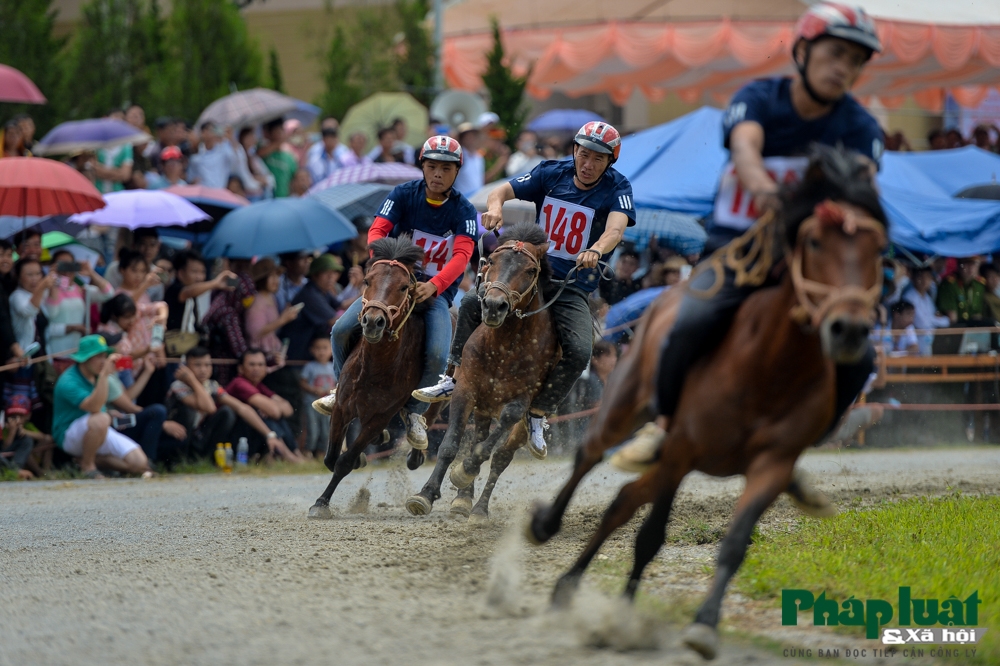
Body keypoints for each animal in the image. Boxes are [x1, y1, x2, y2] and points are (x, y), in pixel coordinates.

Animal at [308, 235, 442, 520]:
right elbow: (330, 457)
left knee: (425, 416)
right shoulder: (342, 407)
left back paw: (416, 449)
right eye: (368, 280)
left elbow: (344, 462)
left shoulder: (379, 416)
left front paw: (321, 502)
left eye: (403, 287)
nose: (373, 321)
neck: (375, 367)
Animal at [406, 223, 564, 520]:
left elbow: (486, 450)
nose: (493, 305)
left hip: (520, 425)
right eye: (491, 260)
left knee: (500, 458)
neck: (503, 347)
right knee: (477, 437)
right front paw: (425, 494)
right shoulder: (466, 390)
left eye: (531, 270)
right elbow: (450, 446)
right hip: (482, 406)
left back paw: (479, 508)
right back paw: (463, 500)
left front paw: (463, 472)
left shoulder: (518, 404)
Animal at [528, 149, 888, 660]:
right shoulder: (683, 450)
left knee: (621, 502)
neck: (770, 370)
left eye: (879, 249)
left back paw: (570, 586)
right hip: (626, 403)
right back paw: (548, 526)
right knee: (590, 454)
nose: (849, 329)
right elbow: (651, 536)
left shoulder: (773, 463)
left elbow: (735, 543)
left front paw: (704, 624)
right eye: (814, 242)